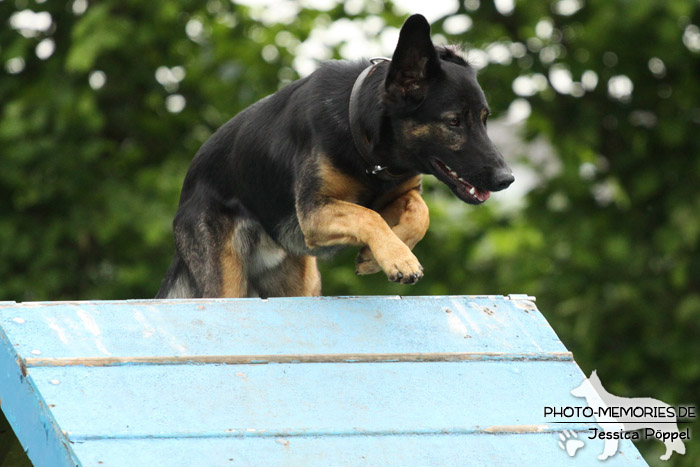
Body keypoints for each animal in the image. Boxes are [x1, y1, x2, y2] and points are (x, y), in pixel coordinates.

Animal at [156, 15, 512, 300]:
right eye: (453, 122)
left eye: (485, 118)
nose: (506, 179)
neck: (367, 149)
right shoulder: (315, 212)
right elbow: (369, 217)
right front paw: (399, 258)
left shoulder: (393, 196)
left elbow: (417, 213)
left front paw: (378, 255)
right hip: (226, 280)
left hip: (302, 283)